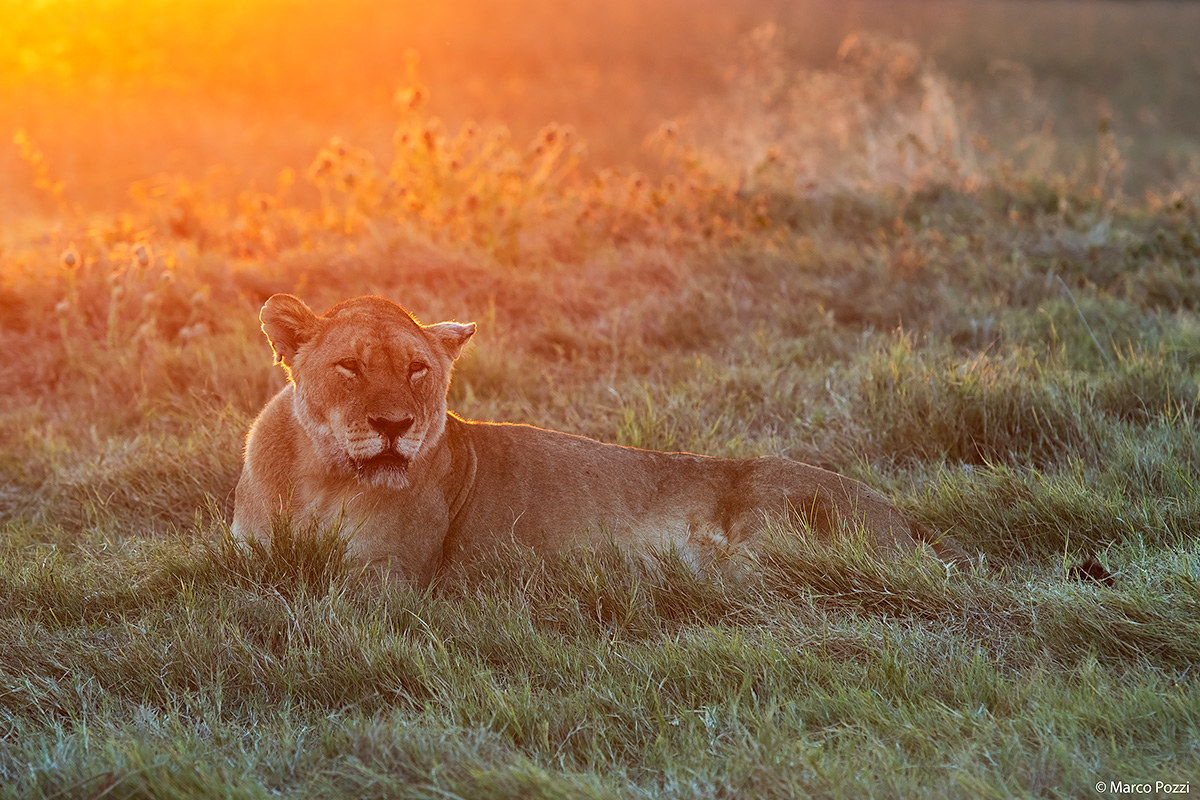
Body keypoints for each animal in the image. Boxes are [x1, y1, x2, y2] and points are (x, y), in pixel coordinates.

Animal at [232, 294, 968, 584]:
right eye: (350, 367)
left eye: (417, 370)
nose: (394, 426)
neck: (319, 477)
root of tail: (906, 522)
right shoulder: (242, 552)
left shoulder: (387, 572)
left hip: (767, 533)